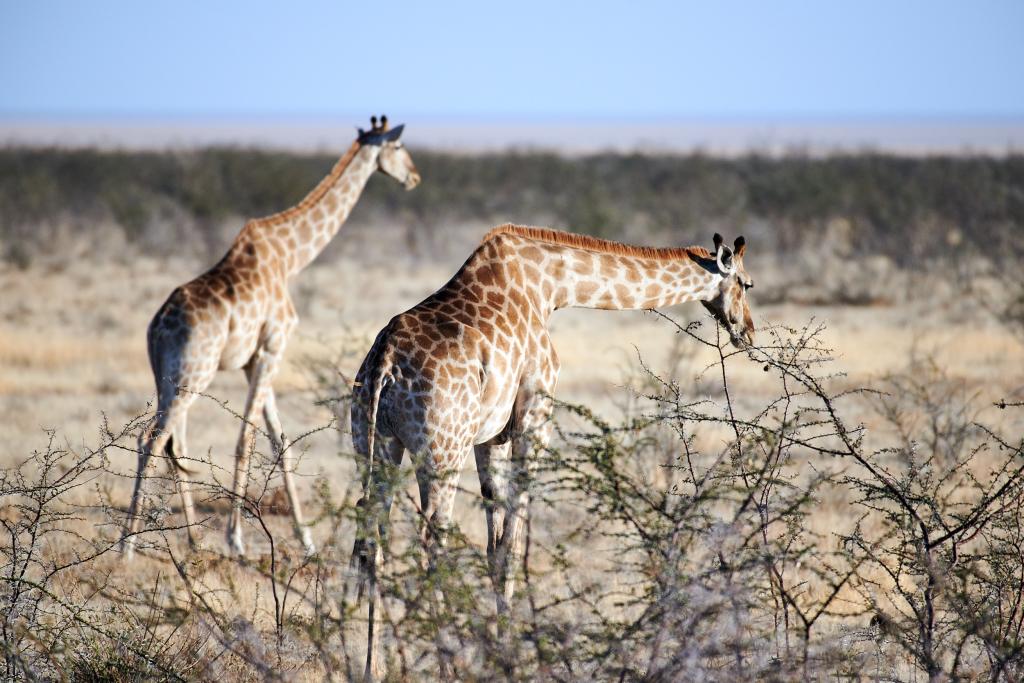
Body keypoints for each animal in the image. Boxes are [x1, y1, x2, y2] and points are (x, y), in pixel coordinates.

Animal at [120, 114, 419, 561]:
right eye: (398, 147)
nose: (414, 177)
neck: (290, 258)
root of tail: (155, 329)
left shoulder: (252, 360)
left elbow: (281, 440)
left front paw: (307, 540)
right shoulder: (272, 349)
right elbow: (247, 438)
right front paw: (237, 540)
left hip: (169, 378)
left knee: (176, 442)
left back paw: (192, 541)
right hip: (194, 373)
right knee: (149, 439)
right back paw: (127, 546)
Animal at [348, 224, 757, 679]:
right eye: (746, 284)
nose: (748, 331)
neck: (550, 286)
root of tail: (383, 366)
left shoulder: (489, 437)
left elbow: (493, 546)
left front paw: (496, 649)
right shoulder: (533, 421)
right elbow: (510, 545)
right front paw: (507, 657)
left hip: (377, 444)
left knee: (372, 539)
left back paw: (372, 668)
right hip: (441, 449)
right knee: (429, 541)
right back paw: (445, 667)